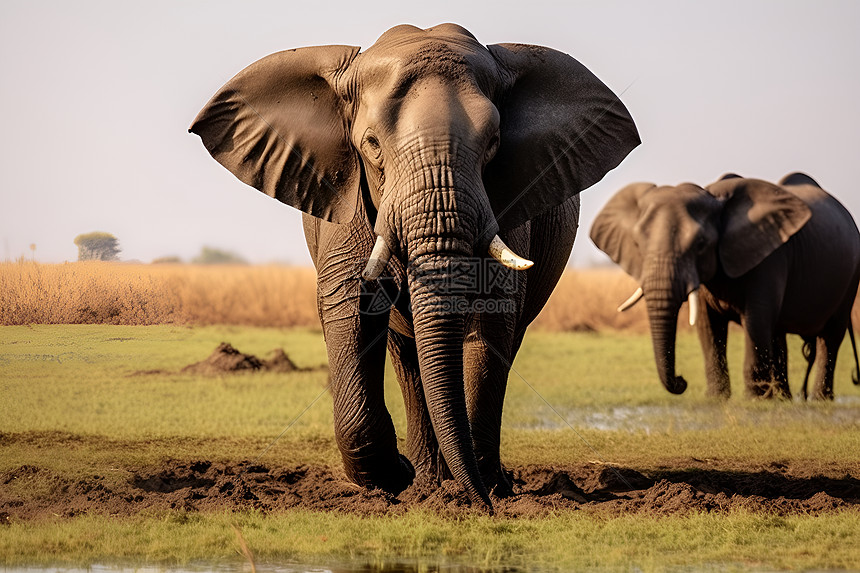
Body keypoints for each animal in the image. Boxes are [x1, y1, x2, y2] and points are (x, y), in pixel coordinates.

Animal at [193, 24, 640, 512]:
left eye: (494, 145)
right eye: (371, 145)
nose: (482, 504)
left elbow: (492, 320)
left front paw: (486, 490)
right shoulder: (349, 203)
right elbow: (351, 305)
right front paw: (404, 478)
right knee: (407, 358)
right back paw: (428, 481)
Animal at [592, 172, 860, 400]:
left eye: (700, 244)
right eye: (637, 244)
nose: (681, 380)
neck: (713, 198)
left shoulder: (769, 257)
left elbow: (756, 320)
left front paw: (755, 401)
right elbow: (708, 326)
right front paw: (717, 400)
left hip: (850, 276)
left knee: (830, 337)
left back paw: (819, 399)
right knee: (778, 333)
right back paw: (783, 399)